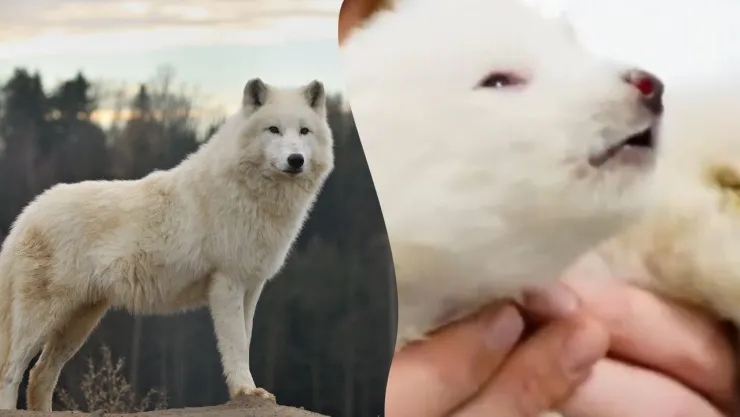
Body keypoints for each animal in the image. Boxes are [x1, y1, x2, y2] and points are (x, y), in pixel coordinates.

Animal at [0, 78, 334, 411]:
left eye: (304, 131)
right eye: (273, 129)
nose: (296, 160)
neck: (252, 194)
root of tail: (26, 214)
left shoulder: (252, 287)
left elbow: (246, 339)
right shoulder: (227, 283)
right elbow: (237, 346)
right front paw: (245, 391)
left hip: (79, 321)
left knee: (40, 375)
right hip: (43, 318)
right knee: (10, 371)